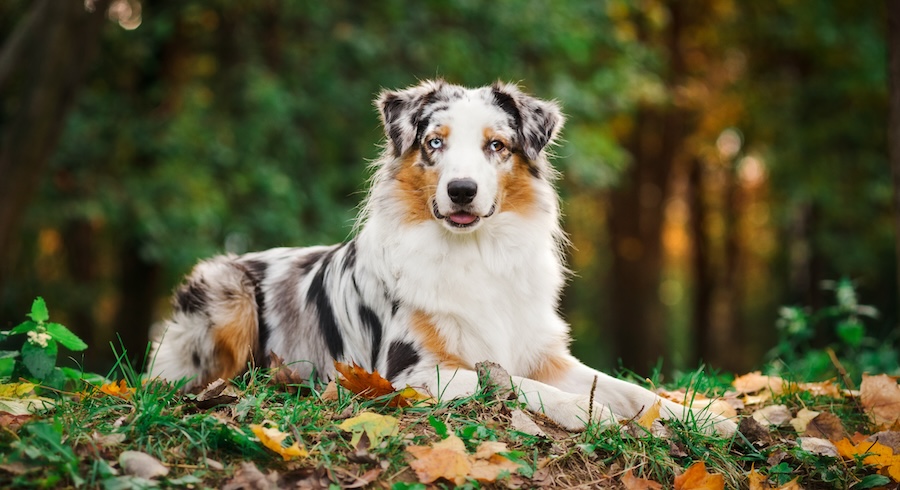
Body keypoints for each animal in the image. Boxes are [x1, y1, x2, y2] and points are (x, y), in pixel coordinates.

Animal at [149, 80, 740, 436]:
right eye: (435, 142)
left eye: (496, 146)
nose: (461, 190)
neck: (475, 252)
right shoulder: (411, 373)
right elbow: (509, 382)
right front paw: (581, 411)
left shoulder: (544, 353)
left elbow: (625, 387)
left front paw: (702, 416)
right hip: (225, 289)